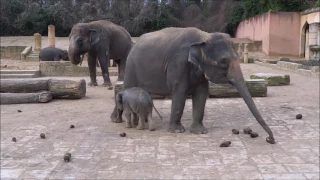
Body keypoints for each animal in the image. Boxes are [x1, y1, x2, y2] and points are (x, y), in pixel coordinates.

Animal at [110, 27, 276, 144]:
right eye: (223, 61)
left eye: (238, 57)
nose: (270, 139)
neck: (204, 37)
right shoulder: (179, 64)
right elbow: (180, 93)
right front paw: (177, 131)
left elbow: (202, 95)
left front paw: (200, 132)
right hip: (131, 67)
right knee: (127, 87)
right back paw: (116, 120)